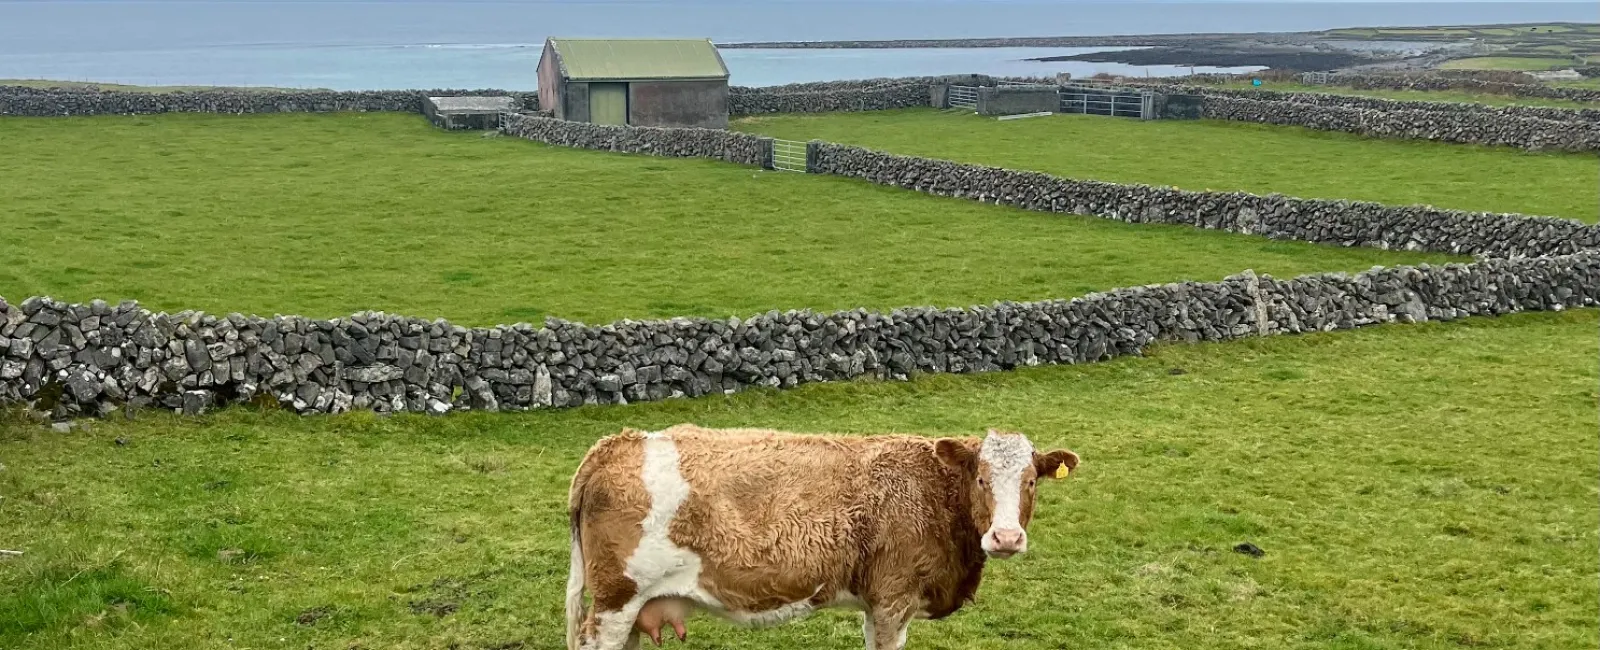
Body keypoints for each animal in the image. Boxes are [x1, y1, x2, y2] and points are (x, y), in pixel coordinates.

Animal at [560, 422, 1075, 646]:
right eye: (982, 479)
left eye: (1031, 481)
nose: (1005, 538)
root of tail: (617, 443)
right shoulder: (893, 600)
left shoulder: (876, 602)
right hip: (616, 599)